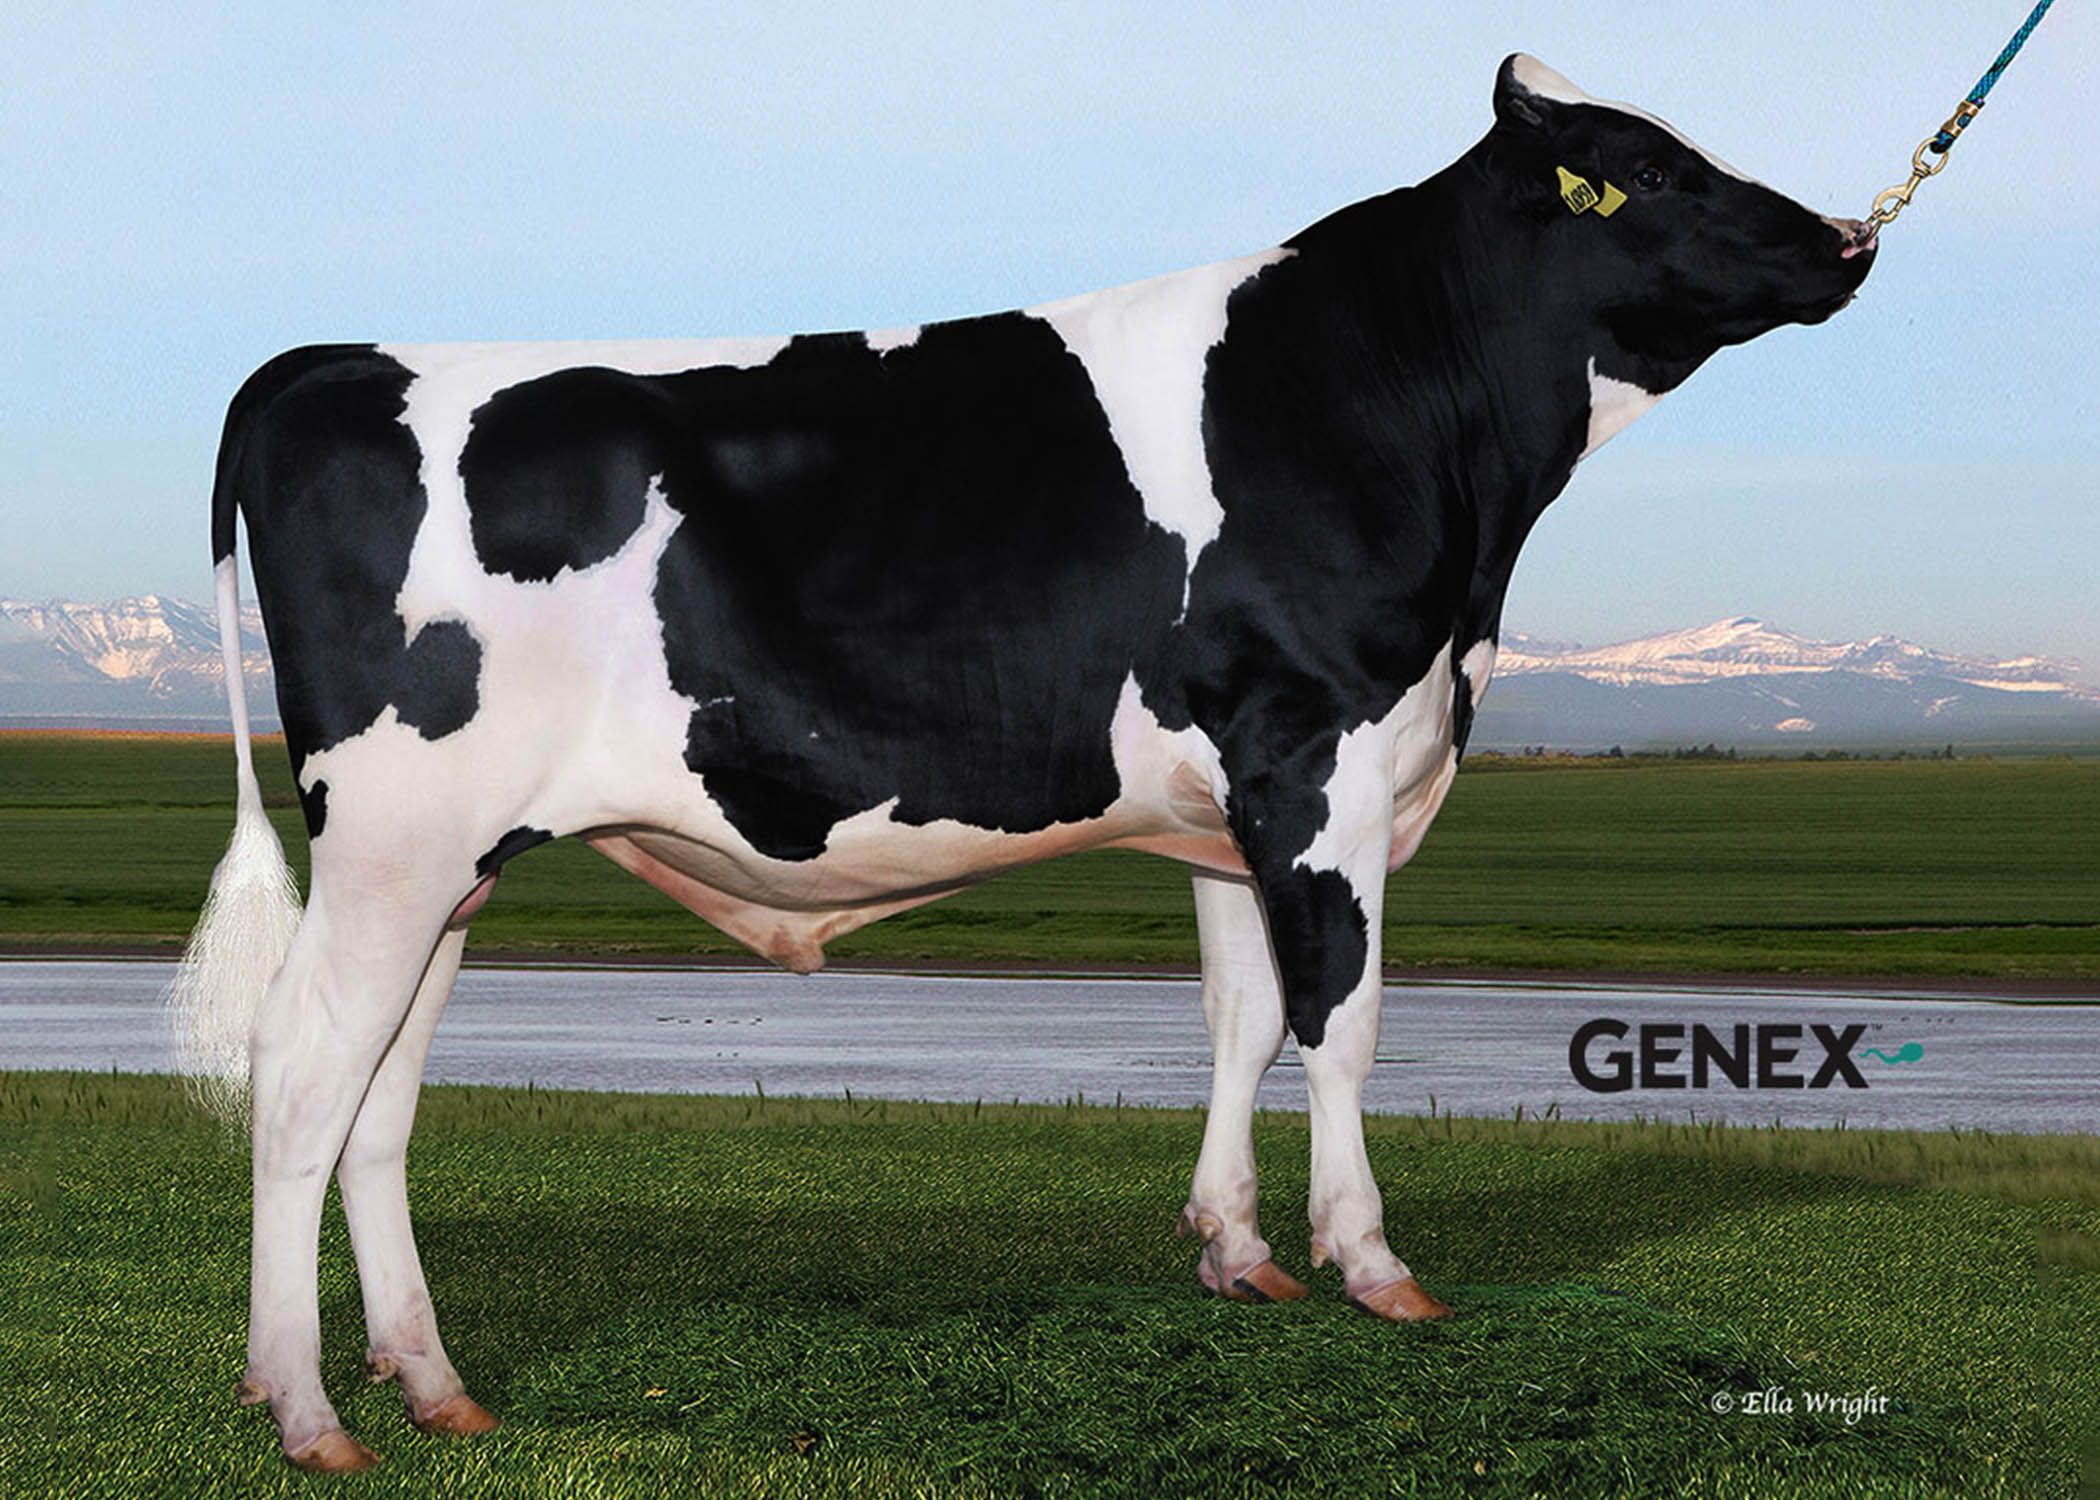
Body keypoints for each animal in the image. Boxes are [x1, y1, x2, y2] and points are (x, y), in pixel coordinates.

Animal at [173, 55, 1877, 1470]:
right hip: (396, 837)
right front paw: (1375, 1265)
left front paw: (1238, 1252)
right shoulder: (1317, 753)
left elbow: (1242, 1021)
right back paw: (309, 1410)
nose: (1847, 240)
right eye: (1646, 169)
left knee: (380, 1098)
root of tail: (325, 364)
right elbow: (1341, 1021)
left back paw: (431, 1382)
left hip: (448, 864)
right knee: (303, 1069)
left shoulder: (1228, 806)